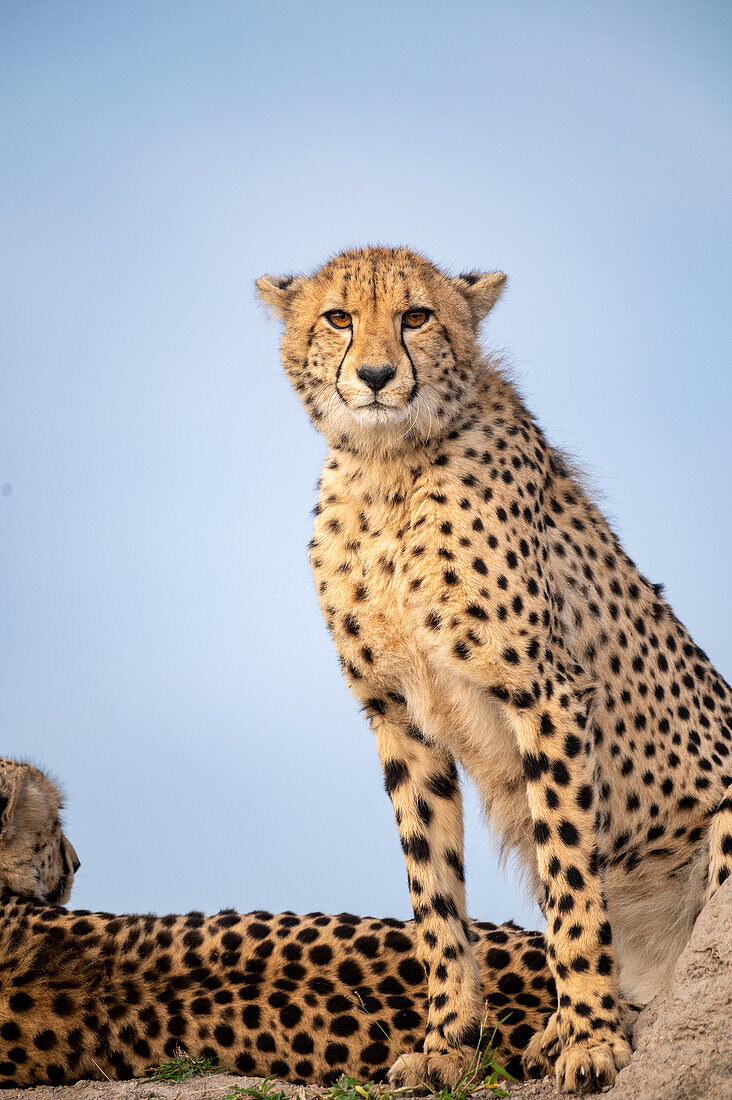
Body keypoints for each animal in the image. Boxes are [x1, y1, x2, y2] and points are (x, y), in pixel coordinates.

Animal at [258, 245, 730, 1095]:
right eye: (338, 317)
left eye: (416, 316)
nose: (375, 375)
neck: (390, 470)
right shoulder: (399, 718)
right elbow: (433, 896)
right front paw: (447, 1045)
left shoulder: (543, 693)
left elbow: (571, 881)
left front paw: (592, 1043)